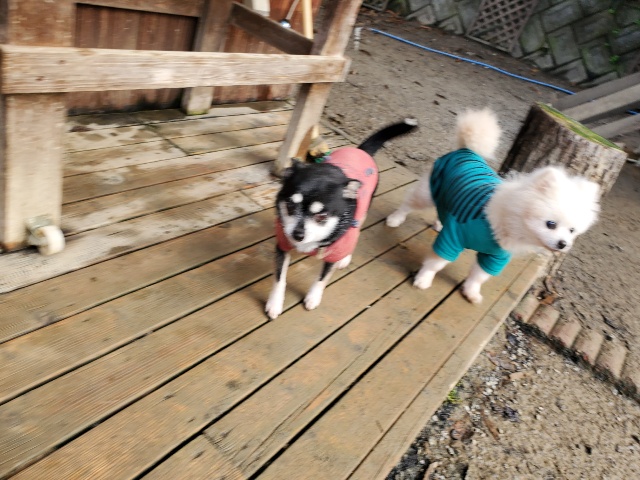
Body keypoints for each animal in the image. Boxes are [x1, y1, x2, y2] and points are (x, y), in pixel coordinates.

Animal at [265, 119, 418, 319]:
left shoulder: (332, 255)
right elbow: (279, 278)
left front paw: (313, 297)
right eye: (290, 206)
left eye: (322, 216)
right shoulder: (282, 247)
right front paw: (275, 303)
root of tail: (361, 150)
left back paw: (346, 257)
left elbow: (321, 279)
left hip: (363, 210)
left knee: (356, 230)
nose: (297, 235)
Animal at [386, 108, 600, 304]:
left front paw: (471, 292)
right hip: (428, 193)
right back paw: (395, 219)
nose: (563, 244)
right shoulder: (452, 240)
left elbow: (479, 276)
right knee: (408, 203)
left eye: (572, 231)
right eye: (551, 224)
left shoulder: (495, 257)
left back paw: (439, 224)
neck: (509, 224)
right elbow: (436, 264)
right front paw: (424, 280)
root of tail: (468, 149)